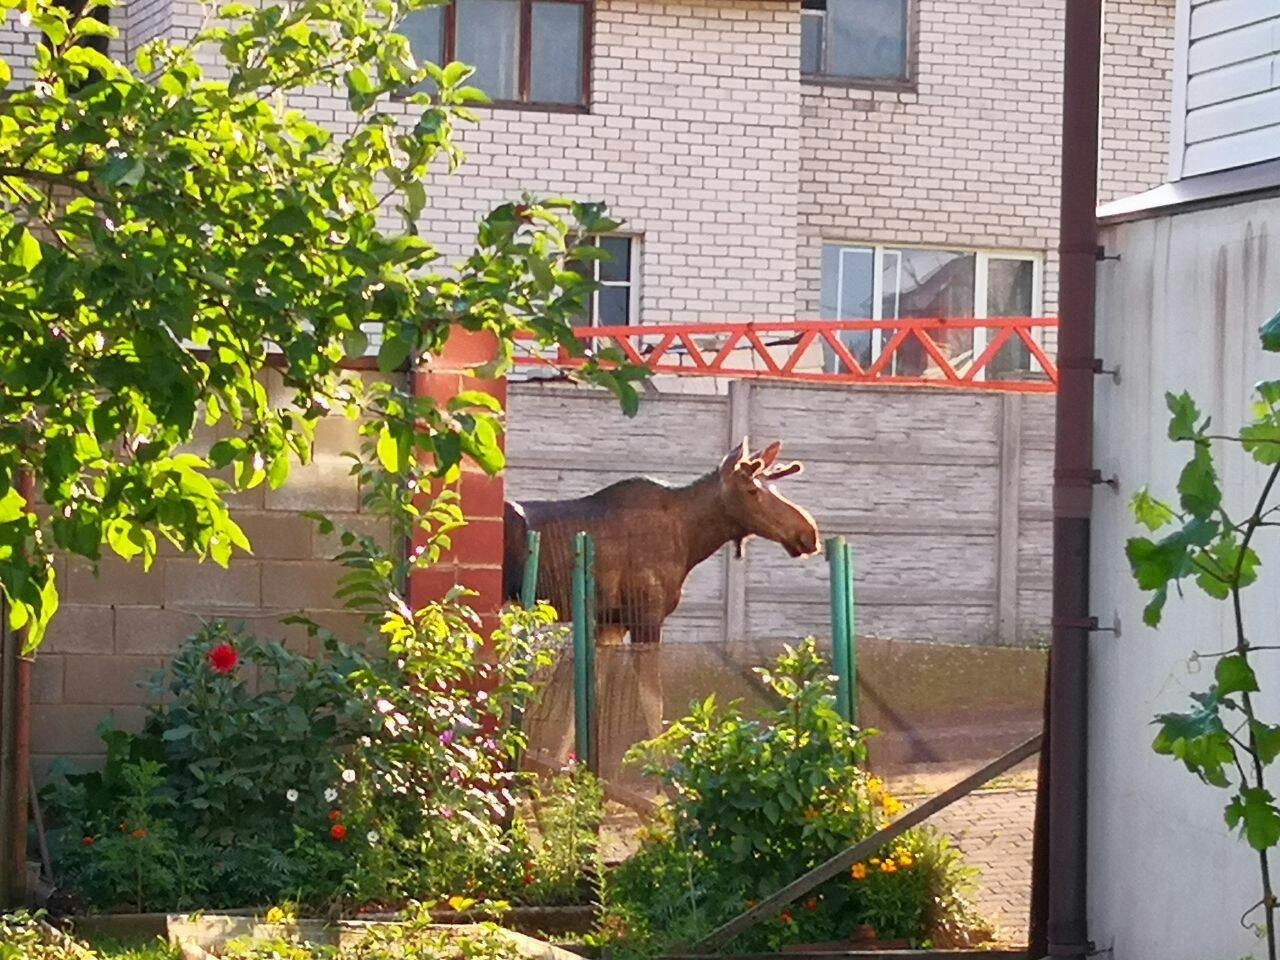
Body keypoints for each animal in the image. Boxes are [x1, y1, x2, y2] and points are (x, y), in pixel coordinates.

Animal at [502, 438, 819, 644]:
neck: (691, 541)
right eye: (752, 490)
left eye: (773, 486)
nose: (808, 533)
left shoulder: (610, 620)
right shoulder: (647, 615)